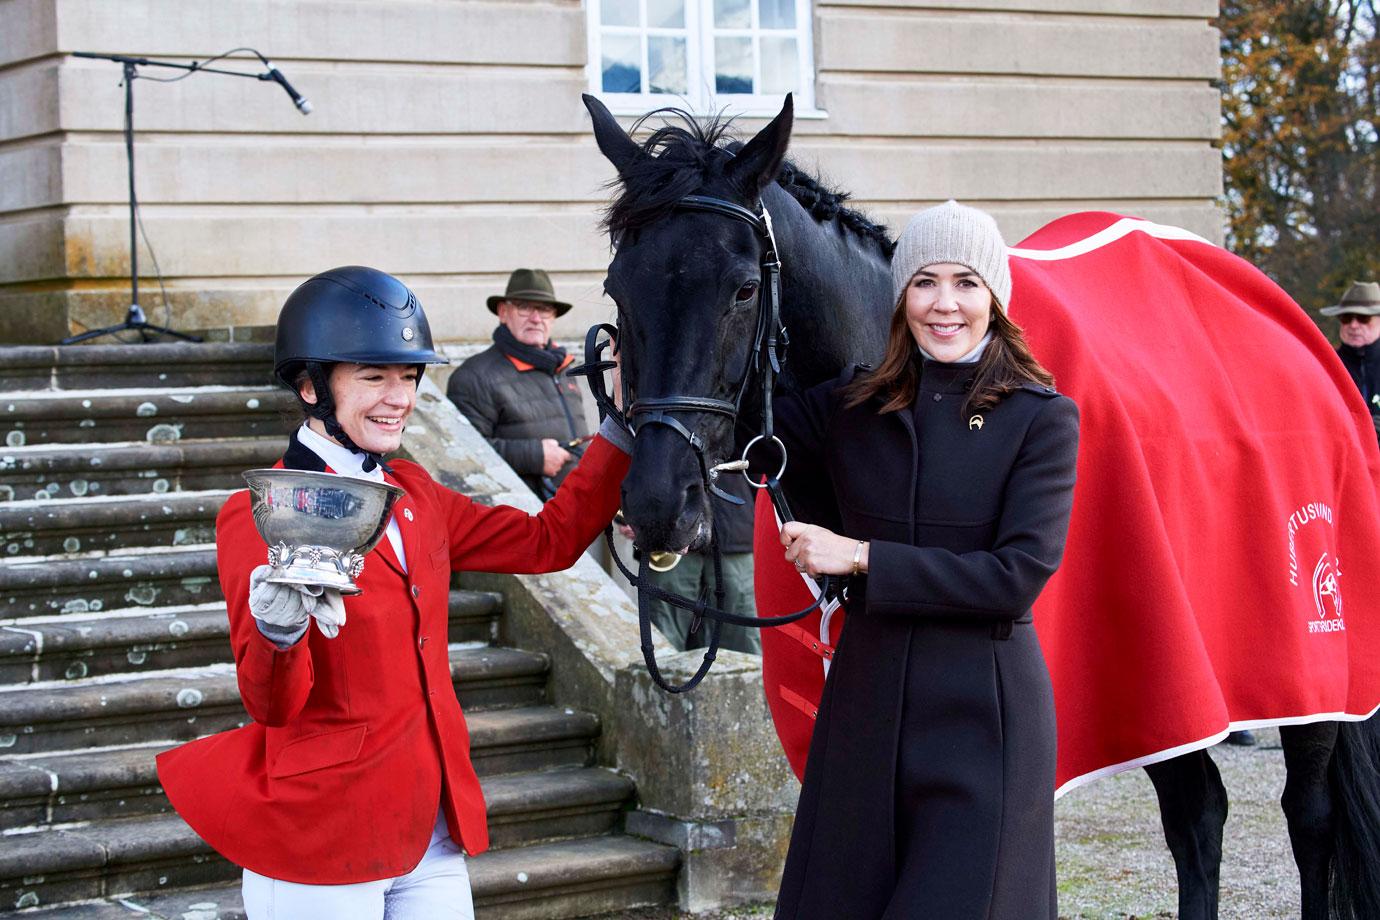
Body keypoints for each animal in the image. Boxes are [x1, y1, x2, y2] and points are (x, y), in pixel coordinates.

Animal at [582, 89, 1380, 915]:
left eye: (743, 288)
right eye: (618, 288)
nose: (657, 502)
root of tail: (1302, 342)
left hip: (1300, 671)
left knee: (1309, 816)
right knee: (1199, 816)